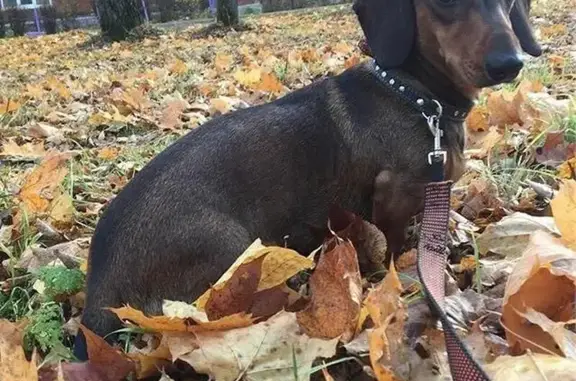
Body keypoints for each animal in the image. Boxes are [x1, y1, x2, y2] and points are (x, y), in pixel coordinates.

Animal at [72, 0, 540, 360]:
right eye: (445, 2)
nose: (508, 63)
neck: (416, 95)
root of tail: (98, 291)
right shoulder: (394, 192)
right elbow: (395, 248)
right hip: (234, 253)